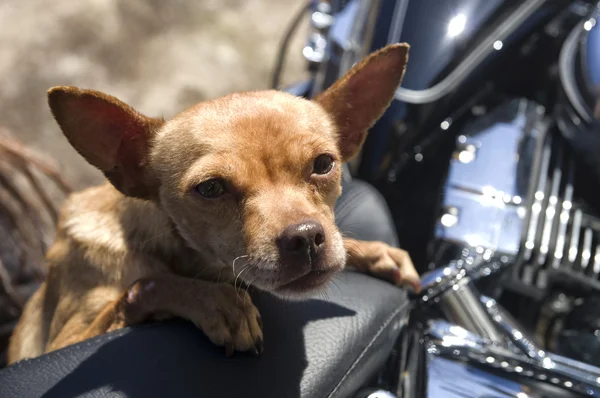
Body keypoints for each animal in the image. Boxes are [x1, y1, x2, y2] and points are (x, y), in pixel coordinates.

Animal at [7, 44, 418, 364]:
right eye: (210, 188)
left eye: (323, 164)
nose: (305, 238)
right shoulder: (65, 341)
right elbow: (147, 283)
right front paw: (219, 302)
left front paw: (374, 251)